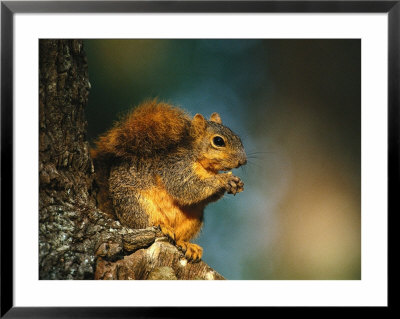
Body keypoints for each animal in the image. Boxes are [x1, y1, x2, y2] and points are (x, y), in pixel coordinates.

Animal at [91, 100, 247, 262]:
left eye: (238, 138)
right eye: (218, 141)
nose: (243, 161)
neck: (203, 165)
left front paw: (236, 183)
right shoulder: (174, 168)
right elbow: (186, 187)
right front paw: (224, 179)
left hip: (193, 219)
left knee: (177, 239)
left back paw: (187, 245)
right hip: (135, 204)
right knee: (144, 223)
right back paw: (162, 226)